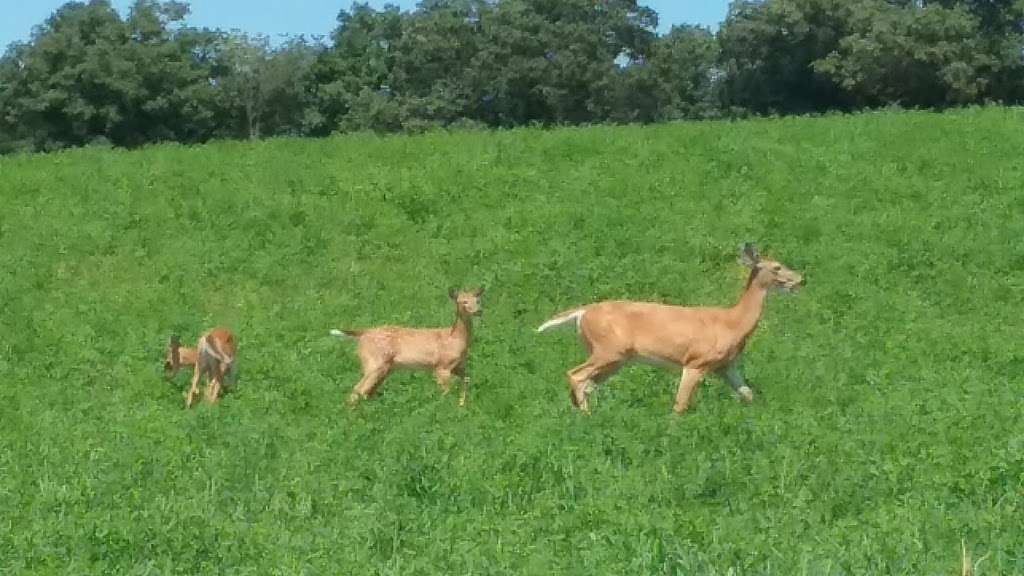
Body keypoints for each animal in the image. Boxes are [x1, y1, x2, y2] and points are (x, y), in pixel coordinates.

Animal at [329, 284, 485, 403]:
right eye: (463, 301)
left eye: (477, 300)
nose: (479, 311)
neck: (455, 340)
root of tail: (363, 333)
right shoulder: (441, 366)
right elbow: (447, 392)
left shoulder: (460, 367)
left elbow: (465, 385)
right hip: (374, 363)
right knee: (357, 389)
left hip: (385, 368)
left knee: (366, 392)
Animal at [532, 241, 802, 412]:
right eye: (777, 266)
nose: (801, 279)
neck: (732, 323)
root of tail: (582, 313)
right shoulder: (696, 361)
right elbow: (680, 405)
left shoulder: (726, 366)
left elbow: (748, 394)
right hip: (608, 349)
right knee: (576, 375)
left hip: (615, 358)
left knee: (587, 384)